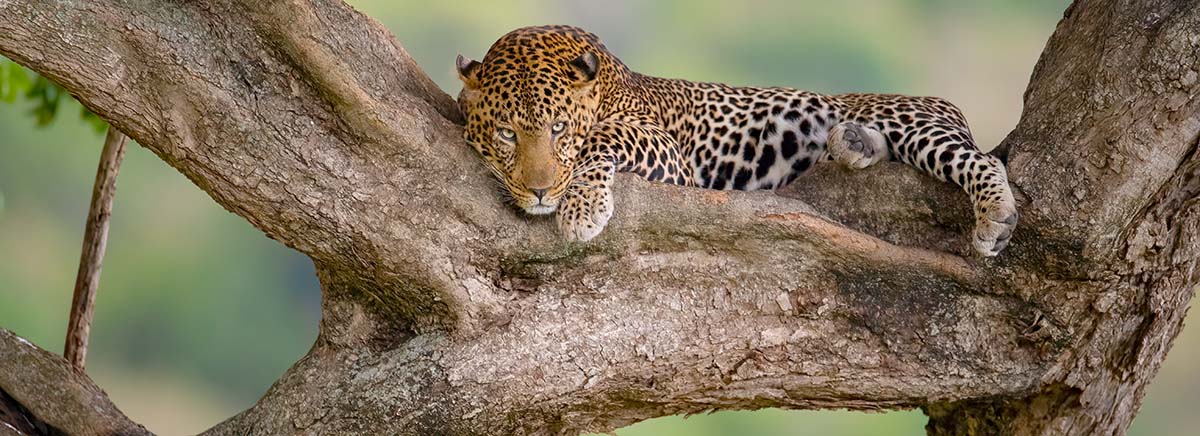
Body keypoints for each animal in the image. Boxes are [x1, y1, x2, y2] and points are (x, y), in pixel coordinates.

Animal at [455, 25, 1017, 256]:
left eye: (558, 130)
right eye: (507, 133)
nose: (540, 192)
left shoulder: (669, 156)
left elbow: (605, 135)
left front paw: (581, 208)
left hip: (913, 120)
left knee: (980, 160)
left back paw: (996, 216)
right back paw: (854, 144)